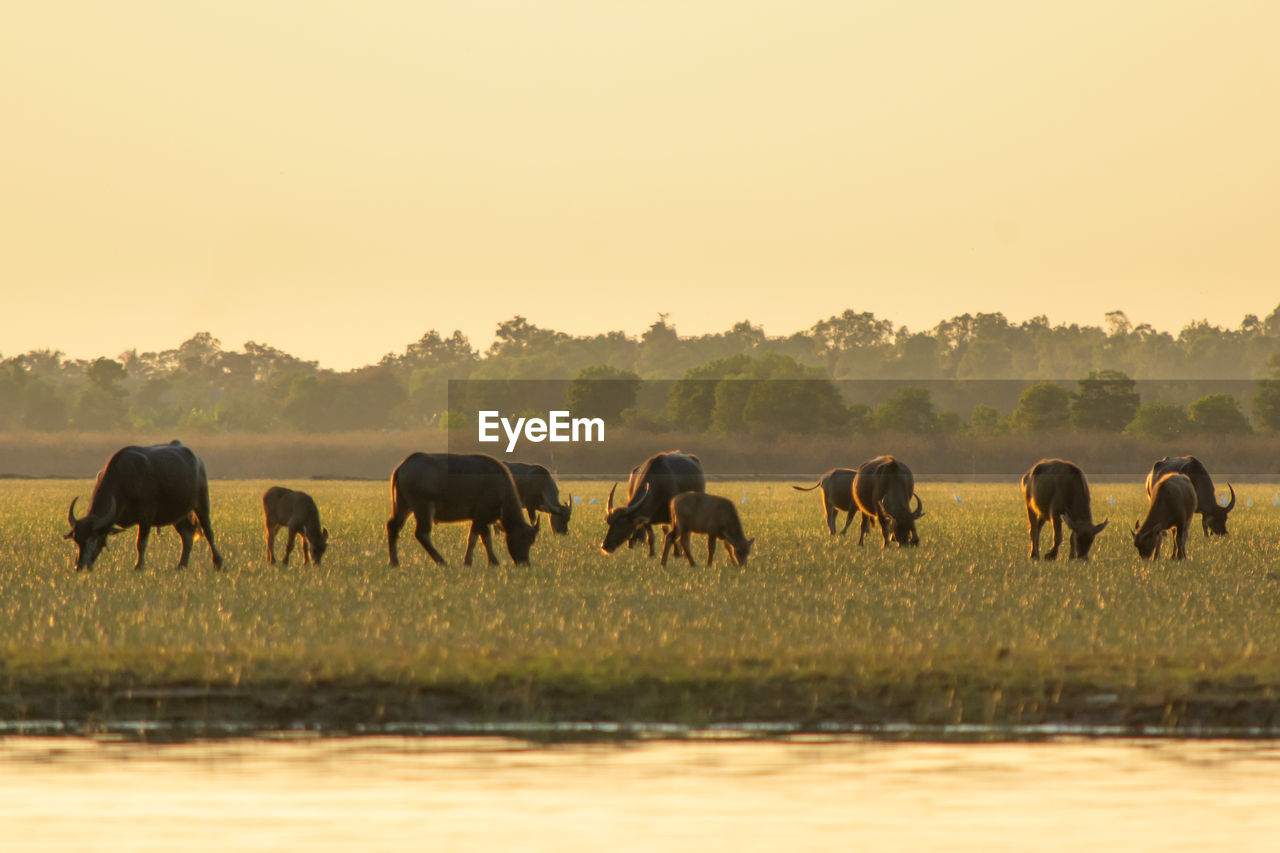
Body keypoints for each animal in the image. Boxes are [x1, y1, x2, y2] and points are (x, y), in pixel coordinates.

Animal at [62, 438, 222, 571]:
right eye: (76, 540)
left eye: (92, 539)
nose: (79, 566)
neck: (125, 481)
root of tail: (198, 460)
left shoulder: (146, 518)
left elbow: (141, 543)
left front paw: (139, 566)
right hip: (178, 514)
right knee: (187, 535)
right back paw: (181, 565)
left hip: (201, 504)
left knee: (208, 532)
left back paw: (218, 563)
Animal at [384, 450, 535, 563]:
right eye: (525, 539)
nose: (524, 563)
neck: (501, 488)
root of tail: (405, 464)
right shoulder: (480, 516)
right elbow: (474, 538)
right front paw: (468, 561)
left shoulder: (482, 519)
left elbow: (486, 539)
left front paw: (493, 561)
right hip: (423, 507)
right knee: (422, 534)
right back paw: (442, 561)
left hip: (404, 505)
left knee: (393, 527)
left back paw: (394, 562)